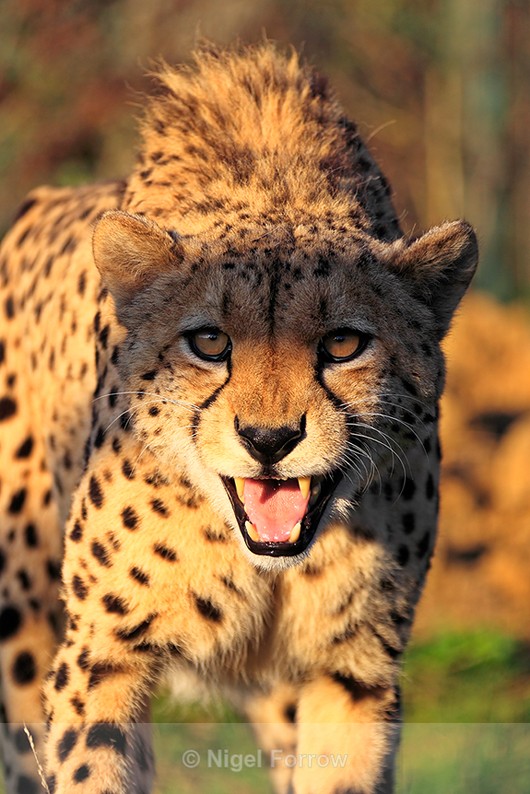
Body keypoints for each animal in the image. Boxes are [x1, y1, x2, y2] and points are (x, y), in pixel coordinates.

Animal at [0, 43, 477, 794]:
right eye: (209, 342)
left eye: (344, 344)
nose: (269, 440)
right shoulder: (102, 652)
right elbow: (92, 760)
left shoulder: (353, 664)